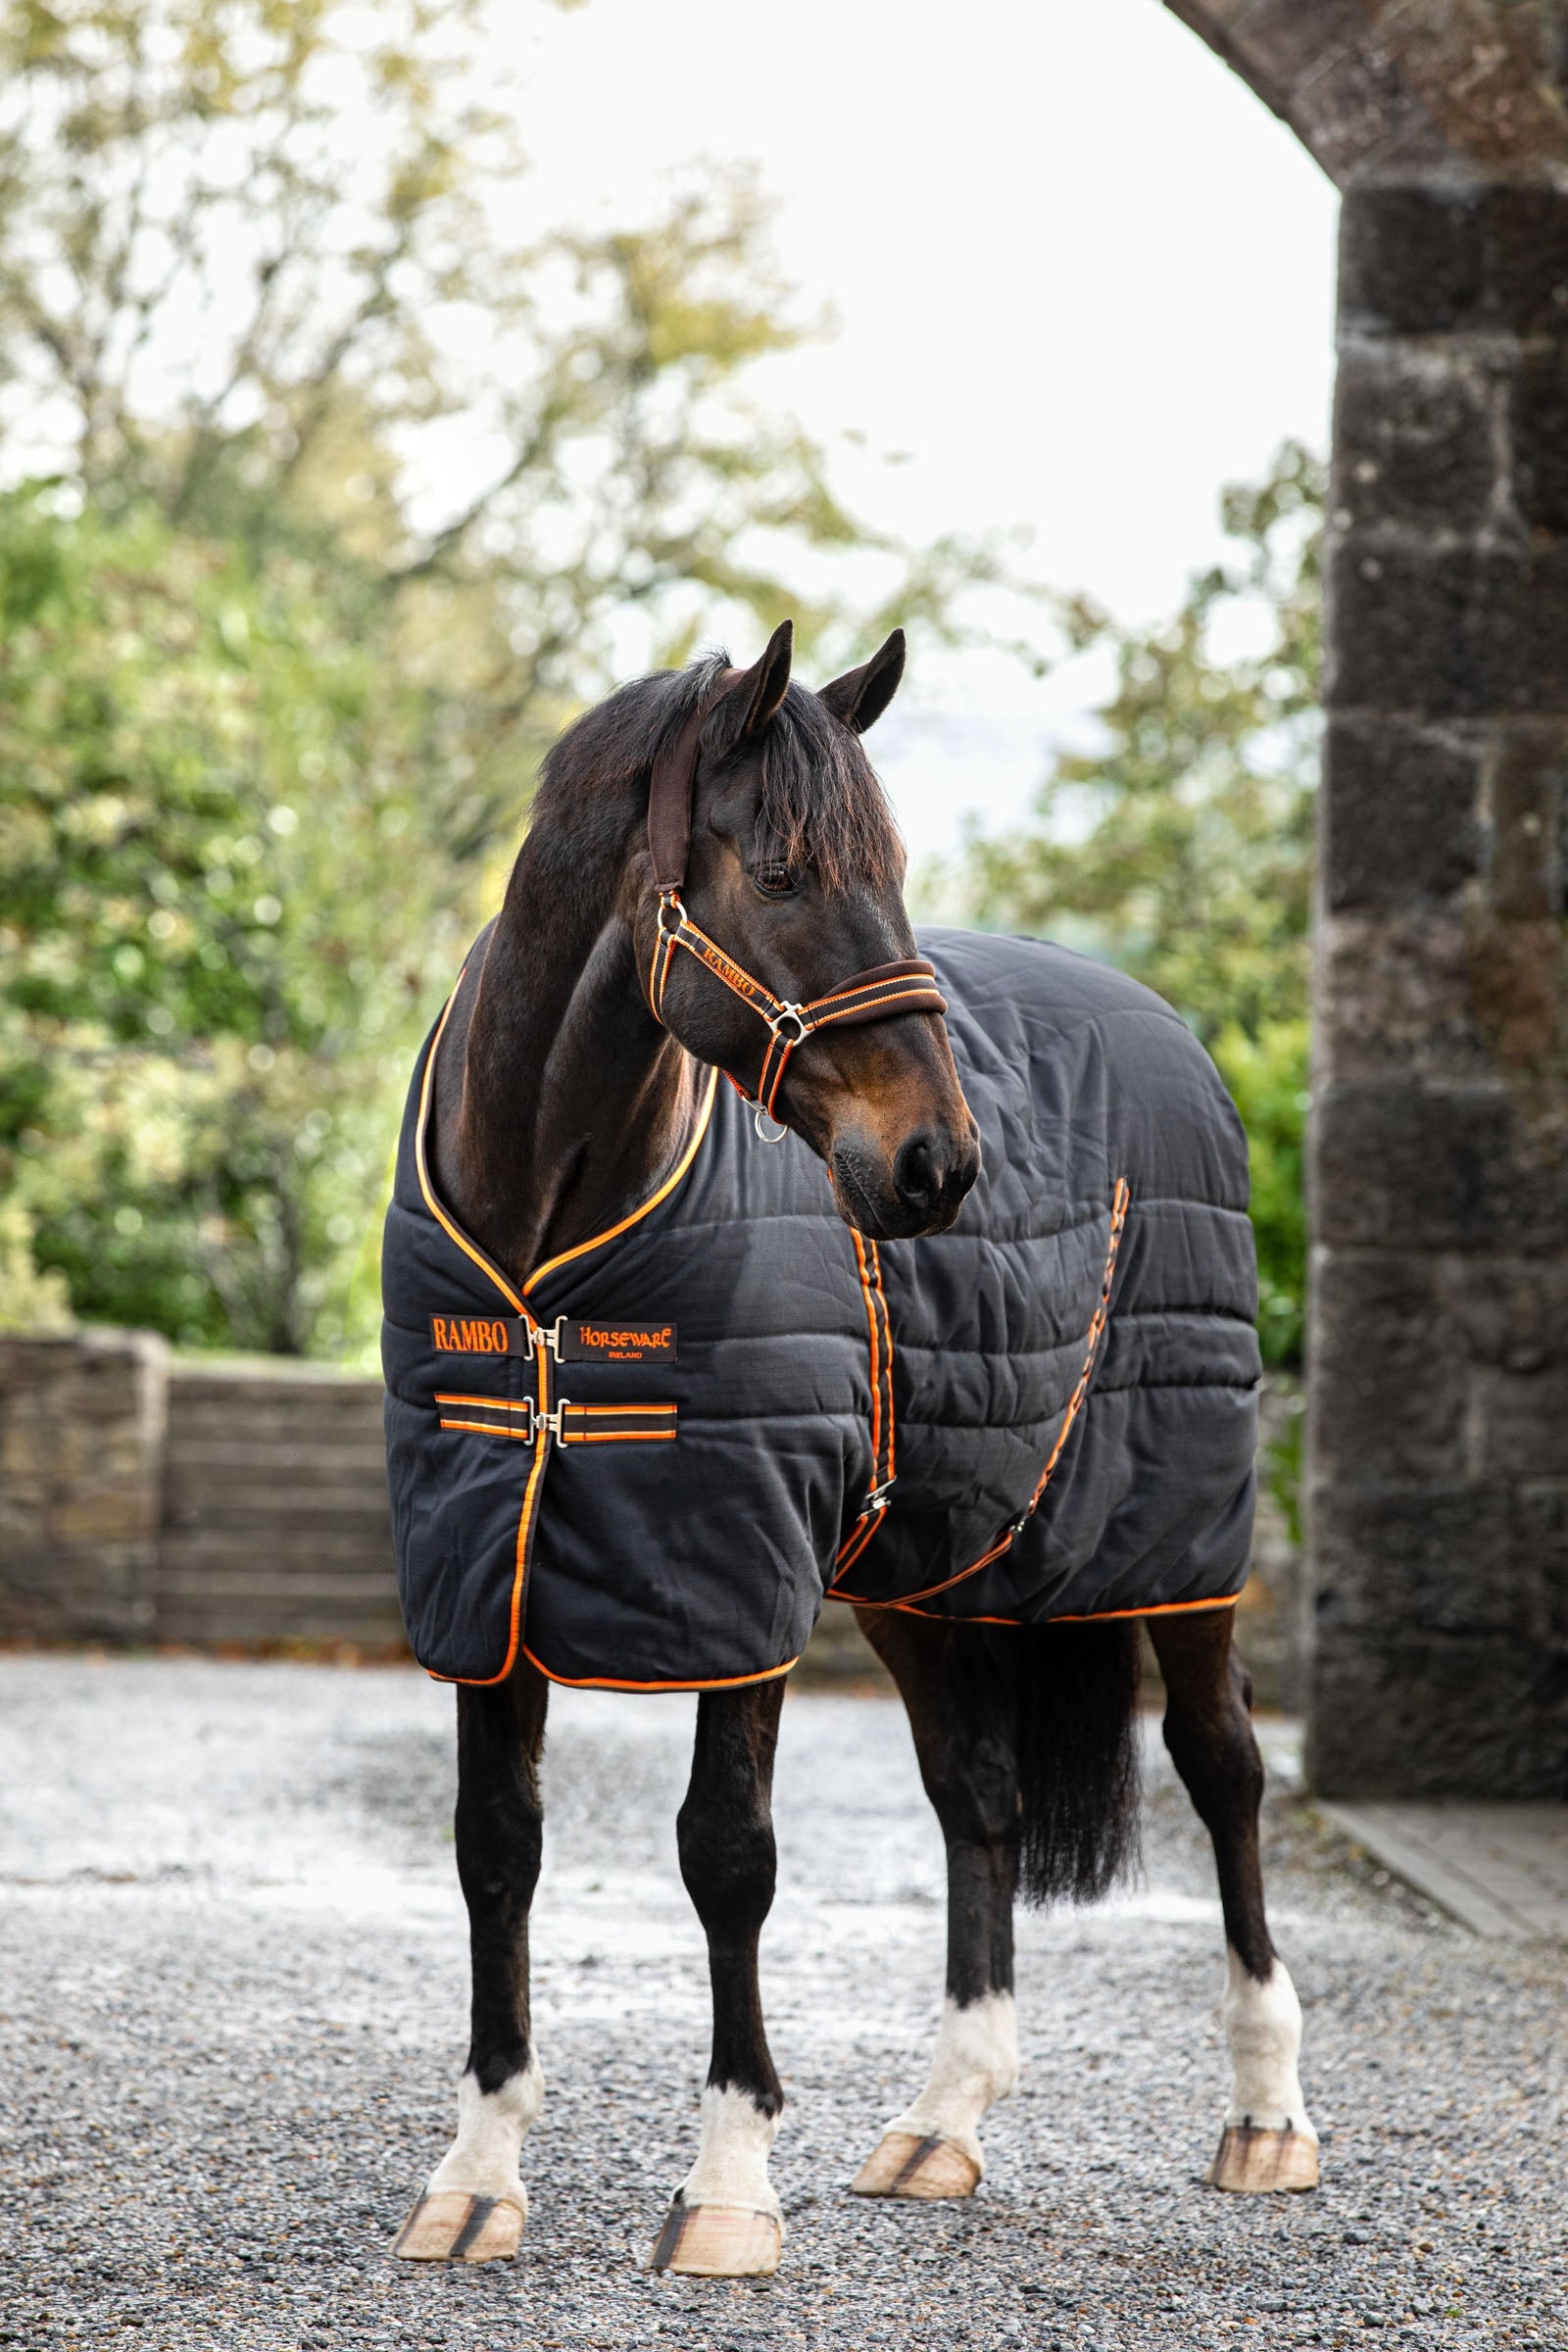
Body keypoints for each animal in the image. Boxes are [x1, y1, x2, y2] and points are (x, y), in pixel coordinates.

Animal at [380, 619, 1317, 2278]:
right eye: (782, 872)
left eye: (890, 867)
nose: (940, 1164)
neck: (548, 1253)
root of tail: (1163, 1026)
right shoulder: (487, 1571)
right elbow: (496, 1847)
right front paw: (478, 2176)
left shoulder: (737, 1573)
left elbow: (727, 1857)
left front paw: (728, 2188)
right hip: (927, 1564)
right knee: (981, 1798)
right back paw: (944, 2122)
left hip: (1180, 1541)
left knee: (1226, 1771)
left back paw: (1269, 2116)